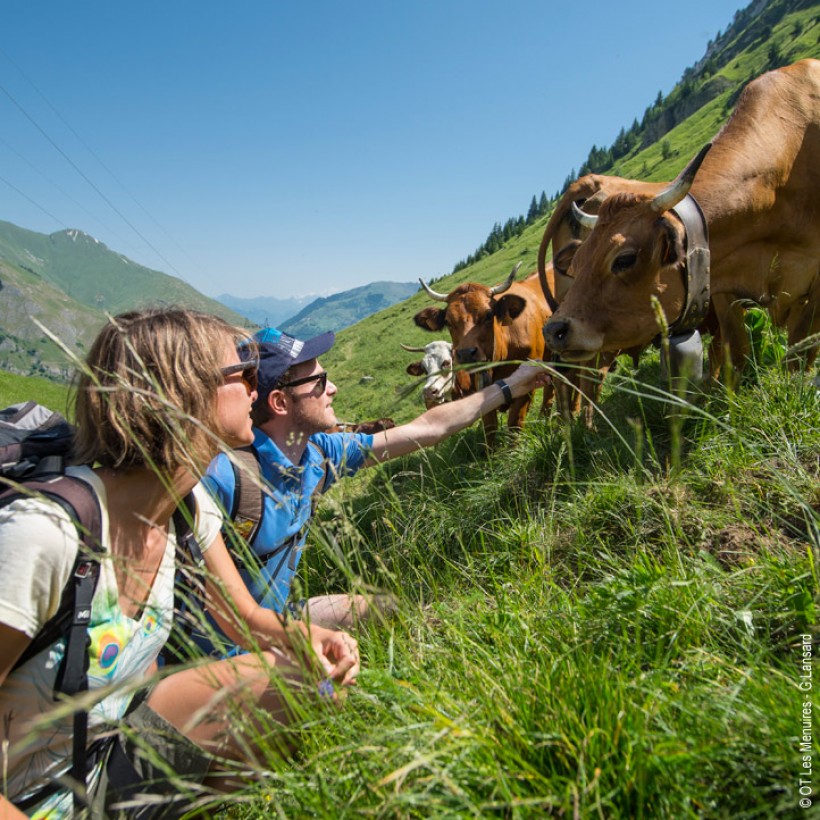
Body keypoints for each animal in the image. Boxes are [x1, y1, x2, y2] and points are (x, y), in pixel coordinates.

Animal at [416, 262, 552, 446]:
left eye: (488, 315)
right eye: (447, 322)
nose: (466, 353)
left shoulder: (527, 387)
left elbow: (514, 424)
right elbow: (490, 427)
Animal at [540, 60, 816, 382]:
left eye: (624, 259)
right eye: (579, 262)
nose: (554, 330)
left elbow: (799, 351)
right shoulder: (721, 290)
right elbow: (738, 350)